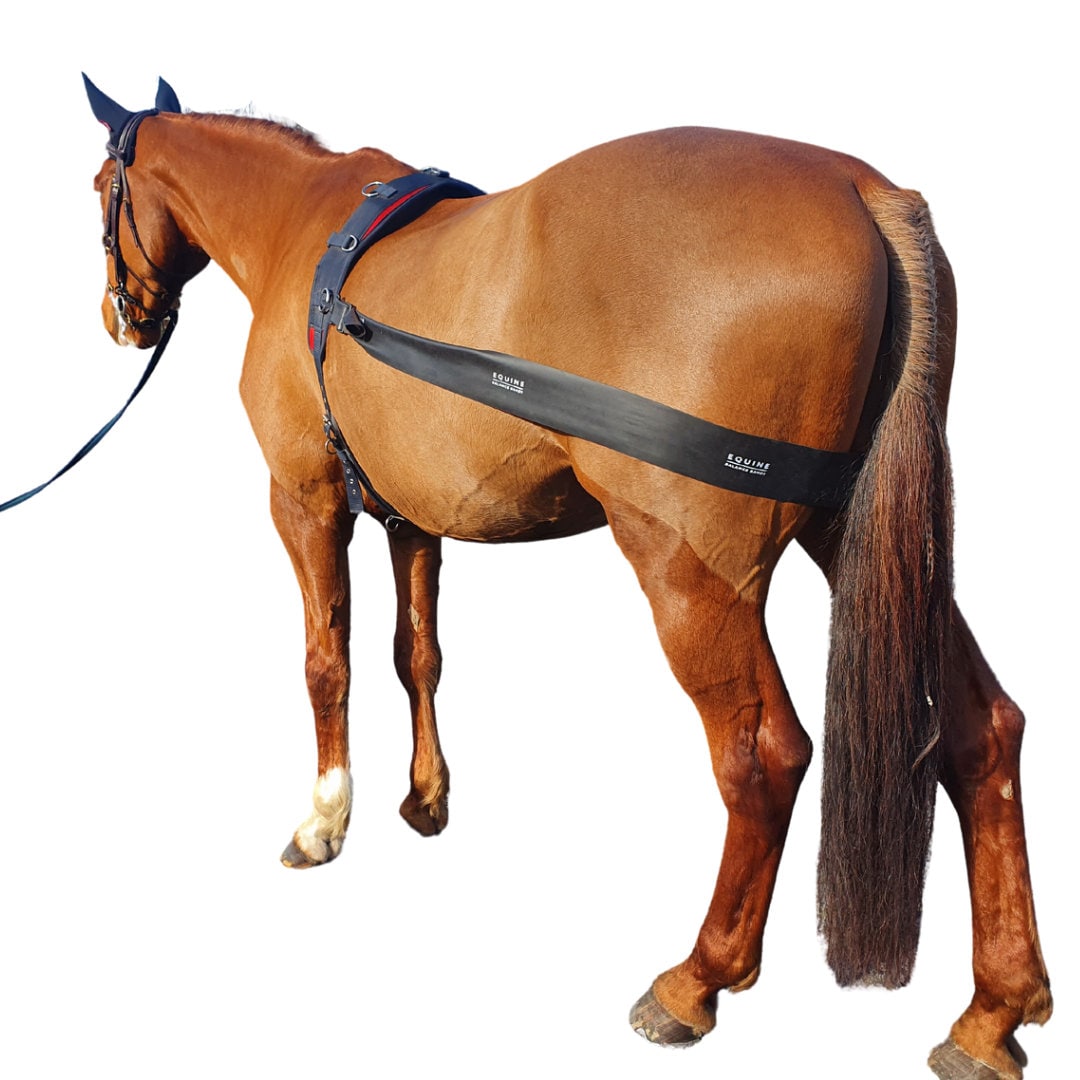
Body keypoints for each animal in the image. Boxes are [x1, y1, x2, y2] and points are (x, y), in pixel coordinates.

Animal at [82, 75, 1051, 1079]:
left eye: (96, 190)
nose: (121, 318)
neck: (303, 233)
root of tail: (863, 190)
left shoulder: (303, 501)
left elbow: (327, 664)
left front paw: (325, 820)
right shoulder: (413, 517)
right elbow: (416, 657)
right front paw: (426, 796)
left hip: (694, 576)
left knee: (763, 758)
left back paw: (696, 980)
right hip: (876, 542)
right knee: (983, 733)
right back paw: (993, 1011)